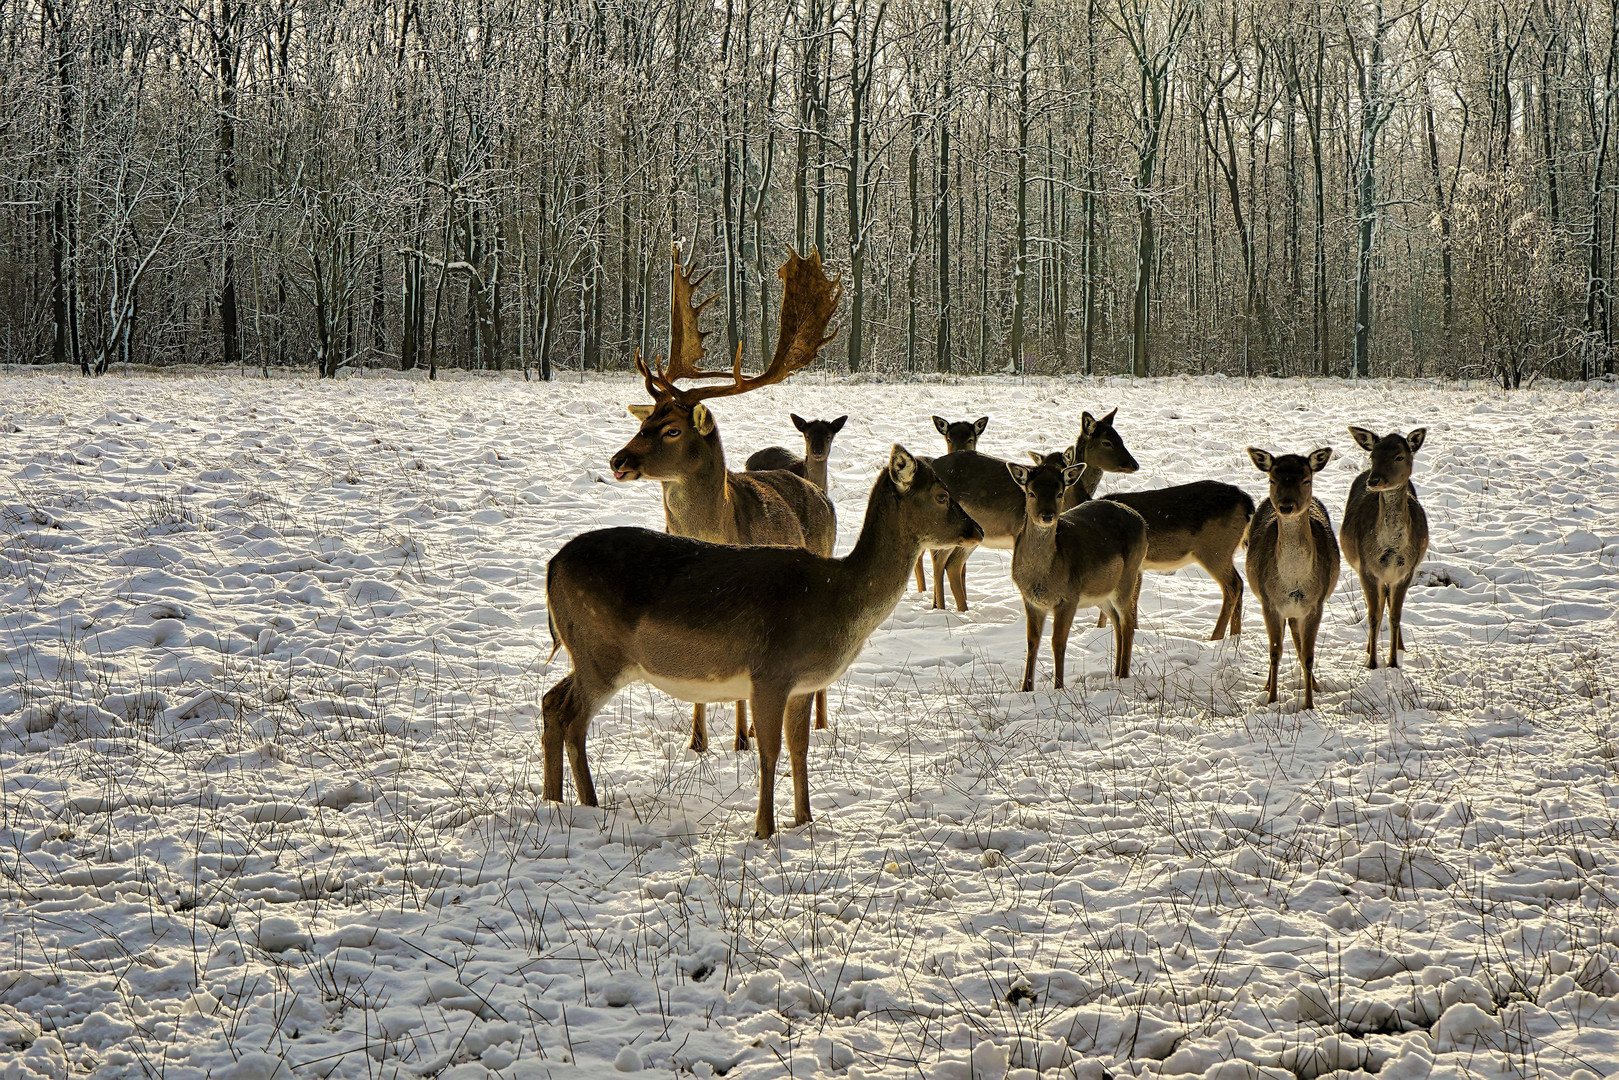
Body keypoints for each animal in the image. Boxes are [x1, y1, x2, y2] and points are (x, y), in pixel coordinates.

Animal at [543, 446, 977, 835]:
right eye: (941, 495)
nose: (977, 529)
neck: (837, 596)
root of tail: (551, 566)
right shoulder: (771, 673)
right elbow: (769, 750)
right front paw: (764, 828)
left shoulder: (803, 684)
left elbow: (800, 748)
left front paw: (805, 820)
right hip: (601, 653)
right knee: (572, 717)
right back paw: (590, 804)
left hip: (585, 653)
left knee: (551, 700)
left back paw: (553, 798)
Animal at [605, 247, 841, 751]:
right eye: (644, 421)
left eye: (672, 430)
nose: (618, 460)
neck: (717, 529)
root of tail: (820, 493)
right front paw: (698, 742)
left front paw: (739, 742)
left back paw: (818, 722)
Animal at [1003, 453, 1146, 689]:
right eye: (1031, 493)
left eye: (1059, 493)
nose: (1047, 516)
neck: (1041, 579)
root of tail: (1143, 522)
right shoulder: (1030, 600)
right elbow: (1032, 642)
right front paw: (1025, 688)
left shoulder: (1068, 598)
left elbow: (1058, 642)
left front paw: (1059, 687)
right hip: (1101, 593)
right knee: (1116, 621)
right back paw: (1116, 672)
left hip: (1128, 576)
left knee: (1127, 623)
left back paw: (1124, 675)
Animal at [1249, 443, 1340, 712]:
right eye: (1272, 478)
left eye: (1306, 479)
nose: (1286, 506)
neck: (1294, 581)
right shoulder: (1269, 602)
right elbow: (1275, 652)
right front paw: (1271, 699)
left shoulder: (1315, 604)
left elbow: (1308, 655)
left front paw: (1308, 704)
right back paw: (1267, 685)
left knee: (1299, 643)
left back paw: (1316, 685)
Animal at [1340, 427, 1431, 667]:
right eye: (1373, 456)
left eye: (1399, 456)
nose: (1374, 480)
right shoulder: (1367, 569)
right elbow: (1374, 615)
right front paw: (1372, 663)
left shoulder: (1406, 571)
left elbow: (1395, 616)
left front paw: (1393, 662)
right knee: (1379, 608)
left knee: (1390, 608)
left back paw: (1400, 647)